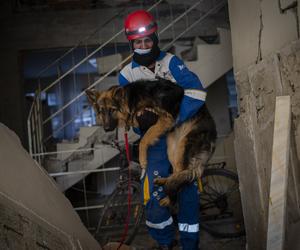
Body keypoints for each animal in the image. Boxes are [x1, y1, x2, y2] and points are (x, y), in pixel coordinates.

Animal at [85, 79, 217, 206]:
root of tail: (213, 137)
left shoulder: (165, 118)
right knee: (177, 172)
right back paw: (165, 183)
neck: (130, 100)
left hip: (183, 147)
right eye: (101, 111)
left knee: (182, 175)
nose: (106, 129)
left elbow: (144, 140)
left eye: (112, 110)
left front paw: (143, 161)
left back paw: (169, 197)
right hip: (172, 148)